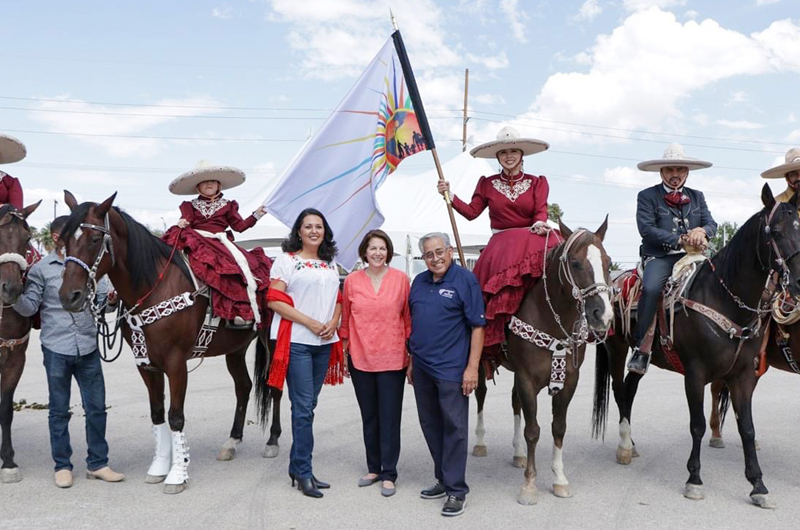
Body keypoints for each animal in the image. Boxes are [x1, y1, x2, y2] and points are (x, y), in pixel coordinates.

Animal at [57, 192, 274, 492]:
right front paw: (159, 467)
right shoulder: (146, 364)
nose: (69, 296)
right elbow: (158, 414)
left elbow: (176, 416)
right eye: (65, 240)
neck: (154, 286)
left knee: (276, 389)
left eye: (94, 239)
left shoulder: (176, 363)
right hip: (236, 349)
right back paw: (231, 442)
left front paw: (177, 474)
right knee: (243, 387)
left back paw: (273, 442)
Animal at [506, 218, 612, 504]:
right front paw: (529, 485)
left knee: (514, 403)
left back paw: (518, 454)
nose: (603, 314)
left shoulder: (569, 382)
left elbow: (558, 428)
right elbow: (533, 431)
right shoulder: (526, 379)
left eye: (608, 262)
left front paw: (559, 479)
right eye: (575, 263)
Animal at [592, 184, 800, 506]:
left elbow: (747, 428)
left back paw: (633, 444)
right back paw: (625, 447)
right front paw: (694, 480)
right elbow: (697, 424)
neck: (724, 298)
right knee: (618, 390)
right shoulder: (695, 374)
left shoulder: (742, 375)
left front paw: (758, 485)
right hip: (615, 349)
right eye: (776, 232)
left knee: (630, 388)